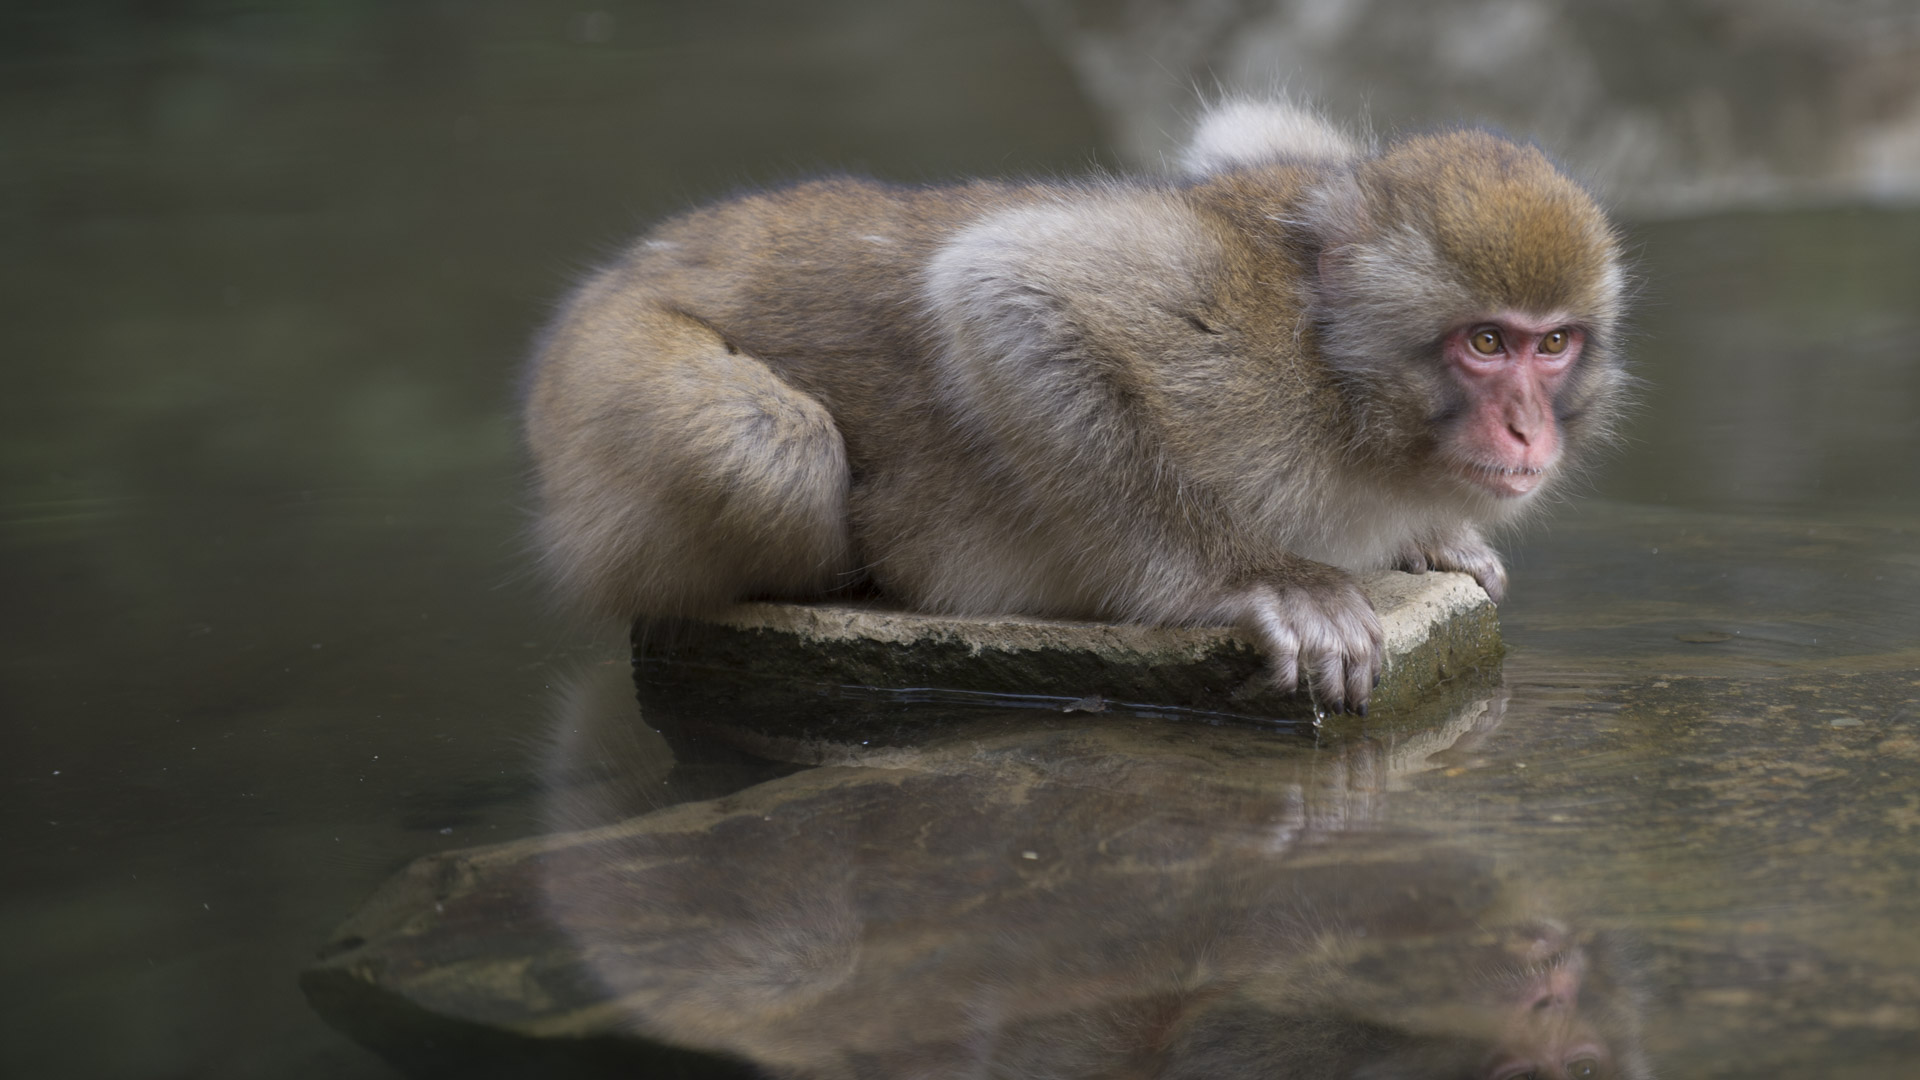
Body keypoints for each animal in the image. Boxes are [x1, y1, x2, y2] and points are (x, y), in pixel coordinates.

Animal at [518, 96, 1628, 711]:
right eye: (1486, 344)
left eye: (1554, 343)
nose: (1528, 429)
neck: (1344, 389)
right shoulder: (1234, 351)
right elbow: (1001, 285)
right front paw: (1248, 581)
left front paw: (1429, 536)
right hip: (606, 372)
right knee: (766, 450)